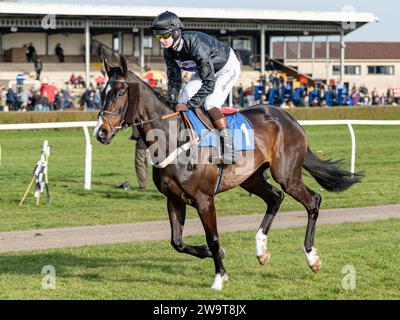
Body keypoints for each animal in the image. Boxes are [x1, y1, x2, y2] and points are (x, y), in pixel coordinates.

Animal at [94, 56, 362, 292]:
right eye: (102, 92)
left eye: (119, 92)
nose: (100, 132)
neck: (173, 137)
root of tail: (286, 116)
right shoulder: (174, 199)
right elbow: (177, 242)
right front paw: (213, 255)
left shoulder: (204, 199)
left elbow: (213, 238)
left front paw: (219, 278)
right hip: (251, 178)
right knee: (275, 197)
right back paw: (261, 250)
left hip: (287, 175)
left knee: (312, 201)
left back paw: (312, 258)